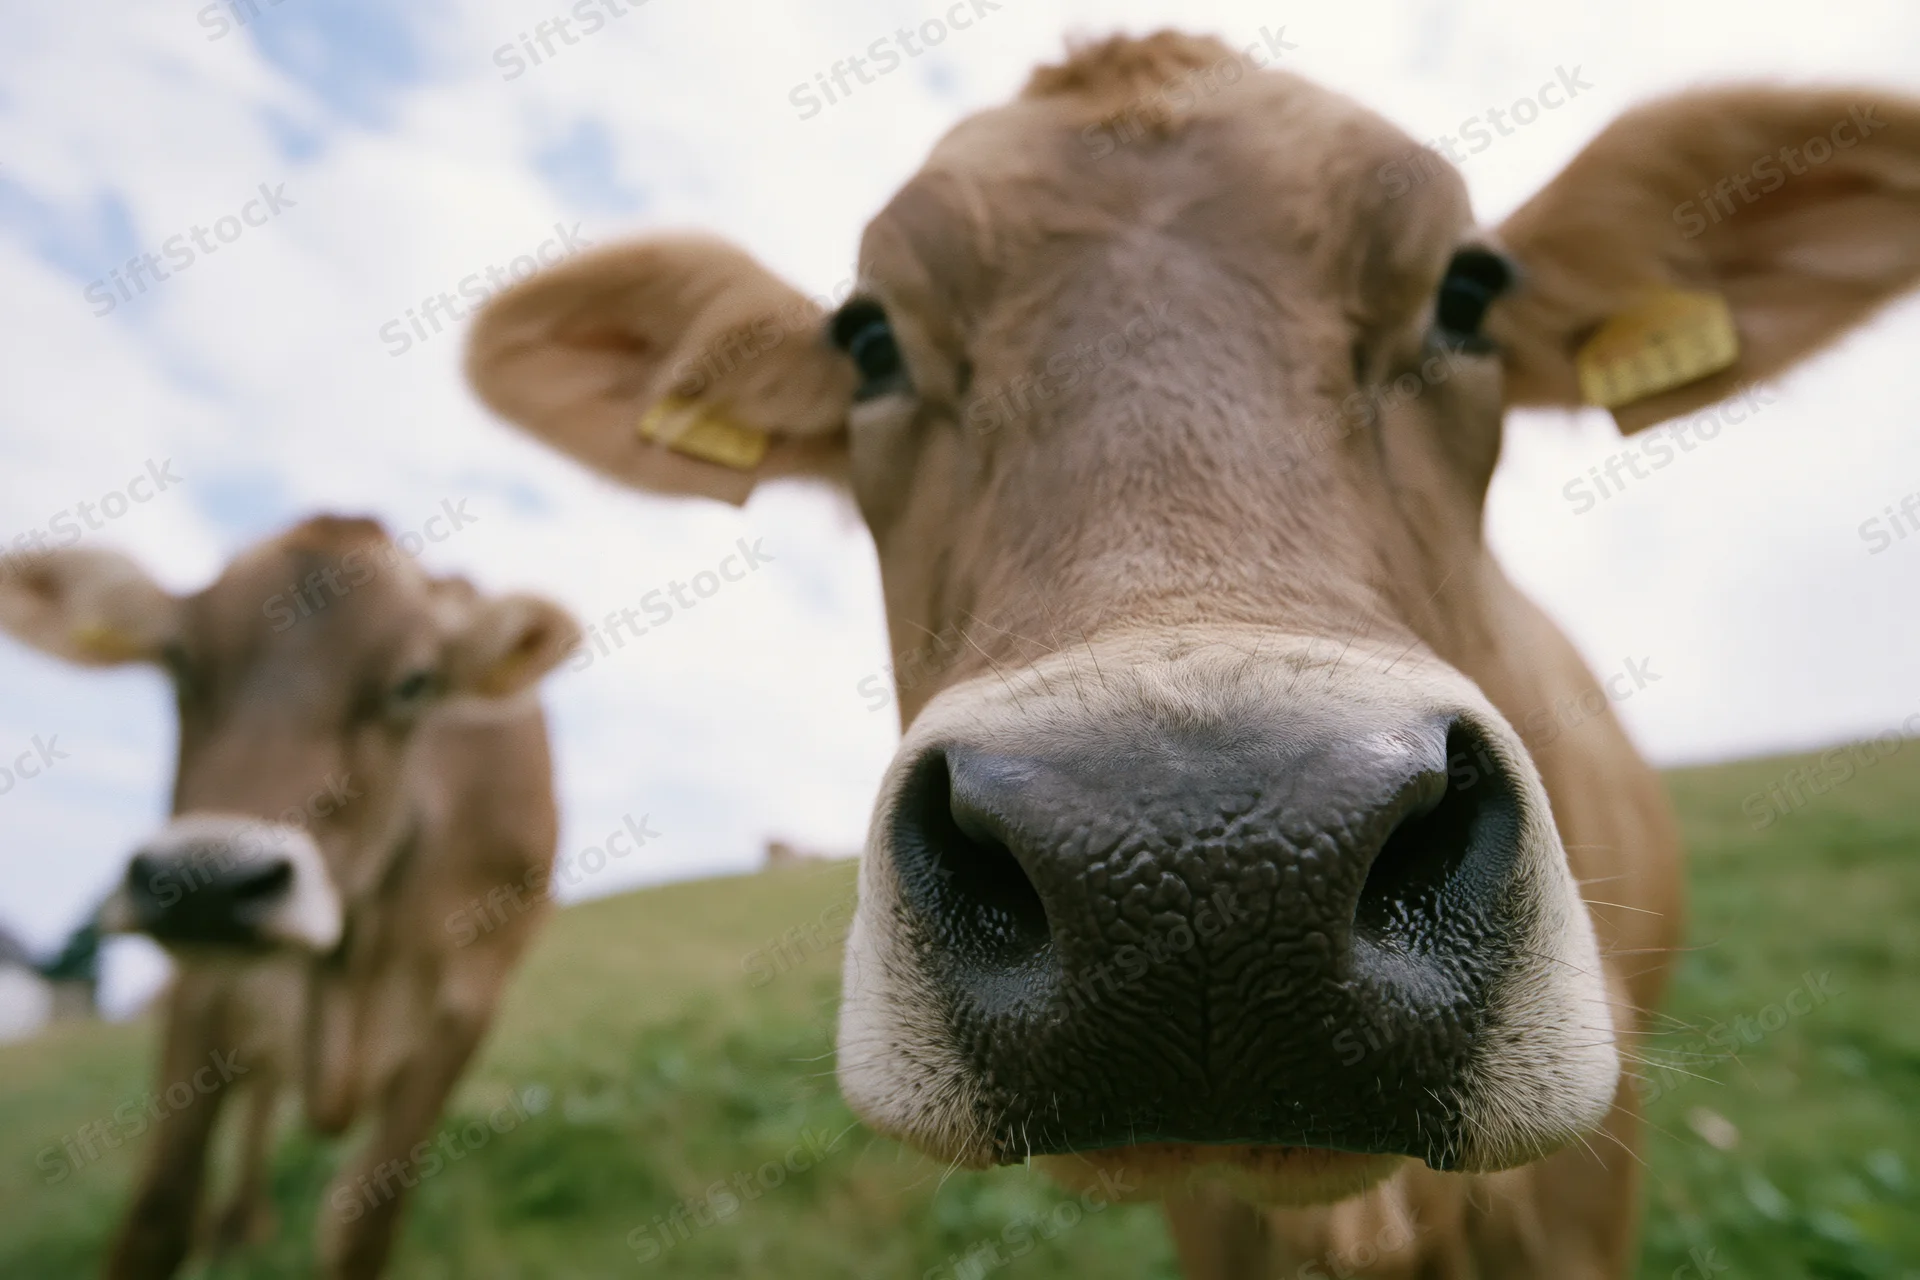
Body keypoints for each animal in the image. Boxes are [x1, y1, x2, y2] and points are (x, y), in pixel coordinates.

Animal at [0, 516, 580, 1279]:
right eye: (178, 659)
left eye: (413, 683)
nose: (208, 884)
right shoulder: (203, 989)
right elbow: (159, 1215)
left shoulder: (467, 1003)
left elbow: (364, 1228)